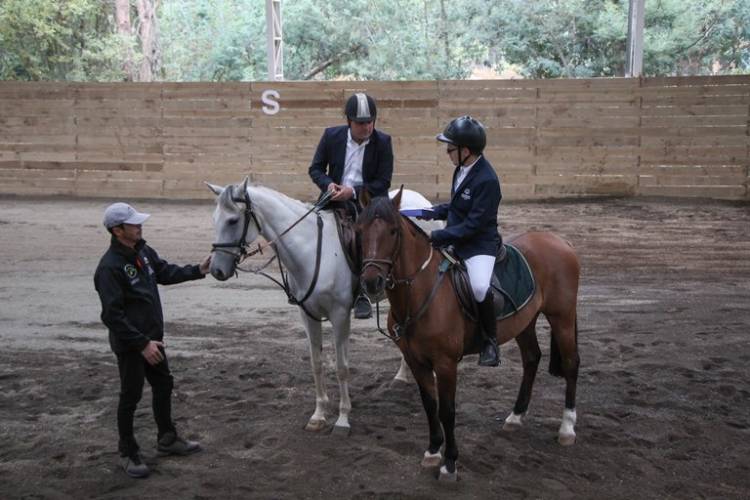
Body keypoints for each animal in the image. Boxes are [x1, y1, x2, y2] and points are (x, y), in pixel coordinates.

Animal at [207, 179, 440, 434]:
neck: (312, 252)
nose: (216, 270)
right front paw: (318, 415)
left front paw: (343, 418)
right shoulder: (308, 315)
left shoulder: (340, 316)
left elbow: (341, 367)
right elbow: (316, 363)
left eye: (233, 220)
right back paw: (401, 376)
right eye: (215, 218)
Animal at [358, 190, 580, 480]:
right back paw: (516, 416)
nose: (371, 282)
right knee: (532, 358)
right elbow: (429, 405)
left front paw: (450, 463)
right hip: (525, 322)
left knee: (571, 364)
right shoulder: (416, 361)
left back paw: (567, 428)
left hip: (561, 317)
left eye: (393, 231)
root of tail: (560, 240)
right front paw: (432, 451)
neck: (421, 290)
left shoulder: (445, 363)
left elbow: (447, 410)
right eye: (360, 230)